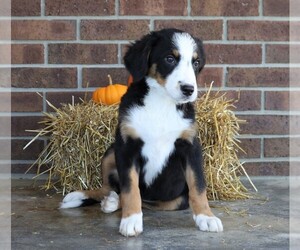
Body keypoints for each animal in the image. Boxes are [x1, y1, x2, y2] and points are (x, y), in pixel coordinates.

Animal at [60, 28, 223, 236]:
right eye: (170, 58)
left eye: (195, 62)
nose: (189, 89)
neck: (161, 102)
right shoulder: (127, 147)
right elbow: (130, 189)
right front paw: (131, 220)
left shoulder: (190, 147)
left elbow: (198, 186)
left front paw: (206, 217)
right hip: (111, 151)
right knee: (110, 188)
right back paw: (99, 199)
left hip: (176, 199)